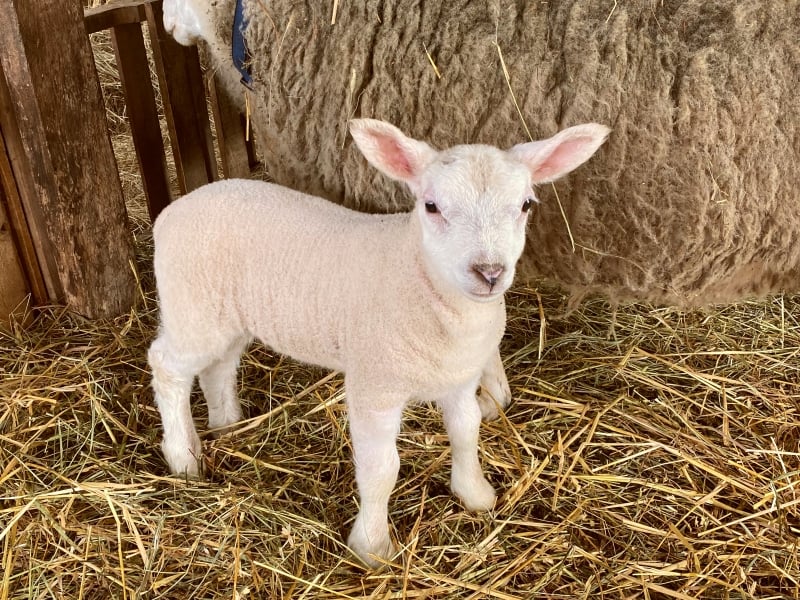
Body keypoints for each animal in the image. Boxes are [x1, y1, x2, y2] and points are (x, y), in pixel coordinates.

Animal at [147, 118, 608, 568]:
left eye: (526, 205)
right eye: (431, 206)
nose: (489, 272)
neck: (417, 274)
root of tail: (173, 210)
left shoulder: (459, 378)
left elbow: (467, 430)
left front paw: (475, 494)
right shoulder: (375, 387)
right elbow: (381, 469)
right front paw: (372, 547)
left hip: (227, 317)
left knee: (218, 366)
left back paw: (227, 423)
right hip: (191, 308)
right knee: (167, 366)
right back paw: (183, 457)